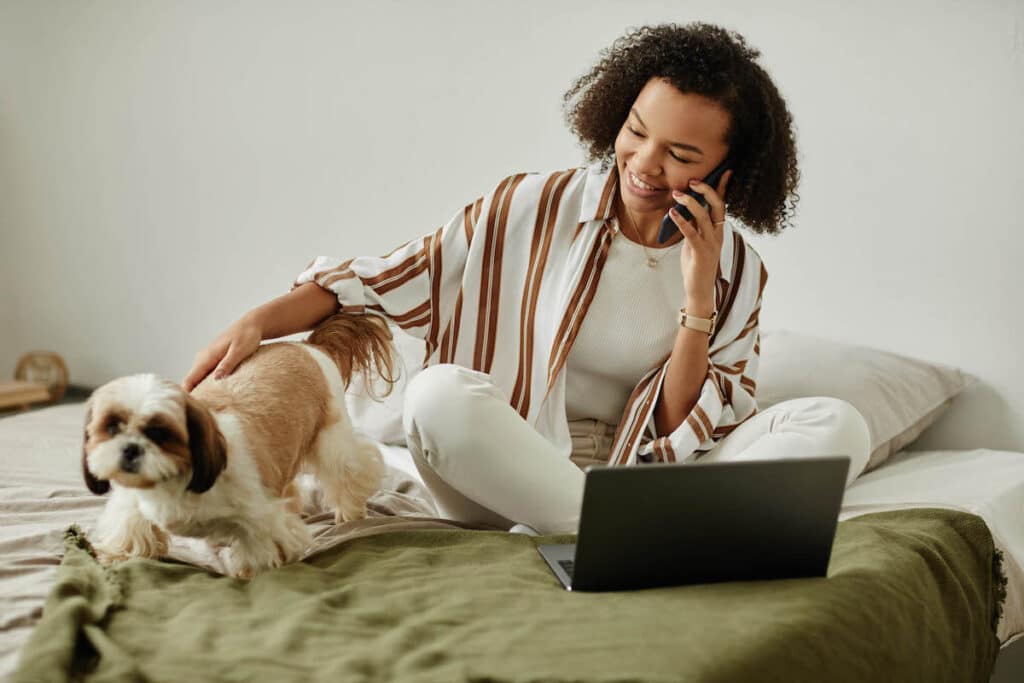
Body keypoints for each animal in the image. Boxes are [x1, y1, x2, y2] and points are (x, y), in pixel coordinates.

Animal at [80, 313, 395, 581]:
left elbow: (261, 543)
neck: (177, 484)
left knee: (349, 471)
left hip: (332, 441)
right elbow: (131, 526)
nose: (130, 448)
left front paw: (250, 572)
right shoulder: (131, 504)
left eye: (160, 433)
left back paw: (351, 513)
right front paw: (115, 554)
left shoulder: (261, 517)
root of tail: (306, 345)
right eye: (111, 426)